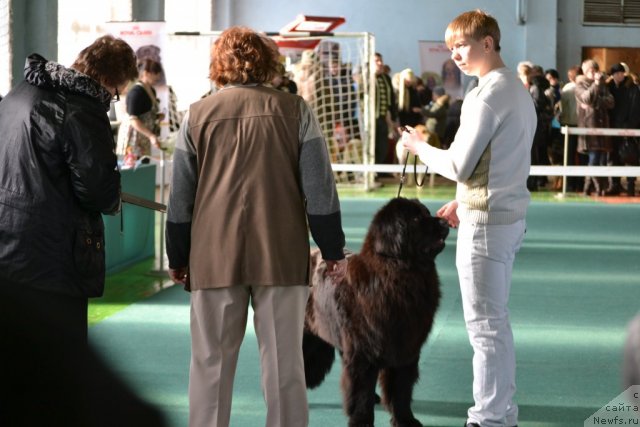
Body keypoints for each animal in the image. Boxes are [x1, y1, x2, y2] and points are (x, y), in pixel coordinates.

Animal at [304, 198, 450, 427]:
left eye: (427, 212)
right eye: (416, 219)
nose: (445, 222)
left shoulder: (406, 350)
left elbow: (401, 390)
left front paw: (405, 419)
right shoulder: (363, 352)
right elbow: (361, 390)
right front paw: (362, 421)